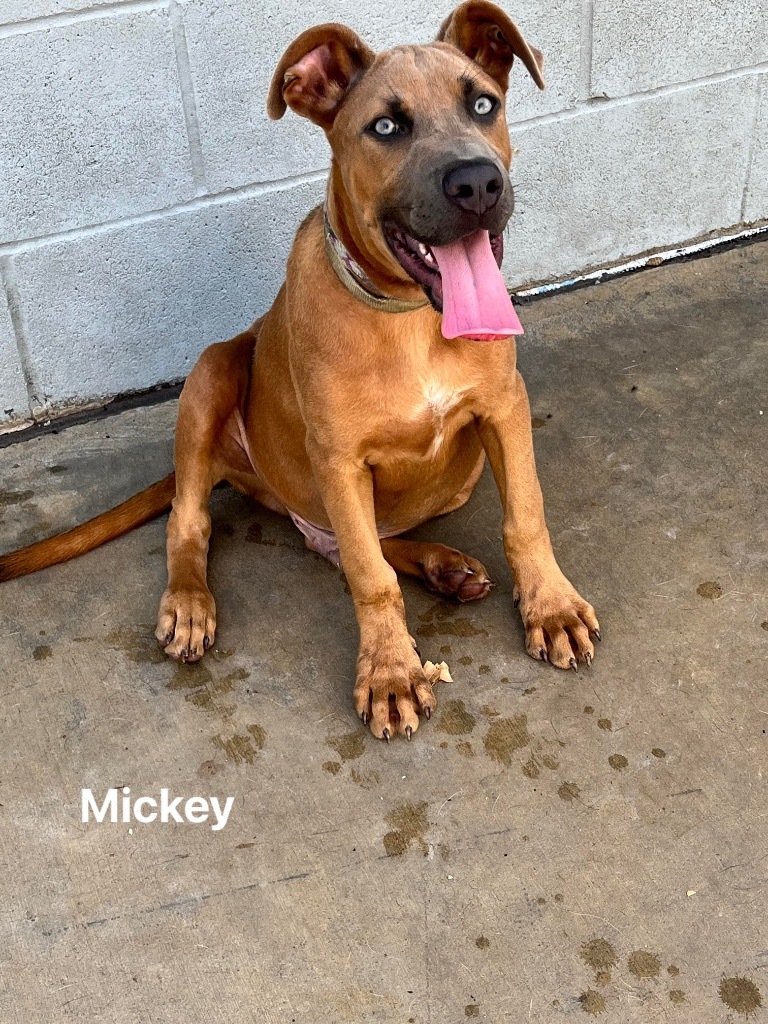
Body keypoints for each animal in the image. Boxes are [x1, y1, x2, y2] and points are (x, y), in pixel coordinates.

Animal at [0, 4, 602, 745]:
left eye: (484, 105)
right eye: (386, 127)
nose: (477, 183)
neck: (408, 318)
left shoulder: (504, 406)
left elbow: (525, 515)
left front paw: (550, 606)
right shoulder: (339, 458)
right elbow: (371, 577)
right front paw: (391, 672)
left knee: (341, 543)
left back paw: (445, 565)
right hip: (213, 372)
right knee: (199, 523)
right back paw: (190, 602)